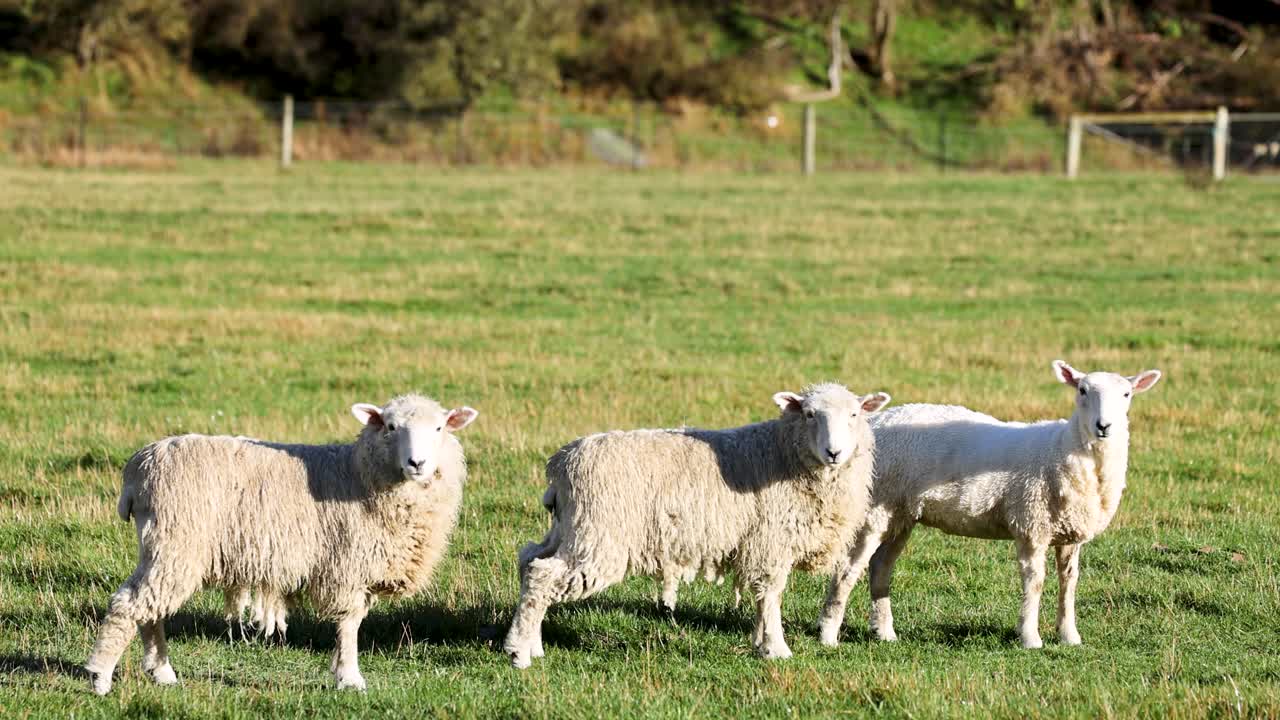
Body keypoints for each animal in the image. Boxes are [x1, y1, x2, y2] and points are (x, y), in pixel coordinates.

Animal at [84, 394, 478, 694]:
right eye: (391, 427)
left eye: (439, 428)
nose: (417, 463)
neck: (359, 473)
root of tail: (139, 466)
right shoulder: (347, 564)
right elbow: (350, 624)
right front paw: (350, 678)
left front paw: (342, 672)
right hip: (176, 543)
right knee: (130, 604)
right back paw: (100, 676)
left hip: (166, 550)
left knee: (150, 611)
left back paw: (161, 672)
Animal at [503, 383, 891, 668]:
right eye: (810, 415)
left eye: (854, 414)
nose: (834, 452)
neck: (785, 454)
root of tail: (561, 462)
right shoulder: (771, 542)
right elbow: (771, 595)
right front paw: (776, 648)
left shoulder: (760, 543)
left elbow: (760, 597)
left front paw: (759, 641)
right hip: (600, 536)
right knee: (542, 575)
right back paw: (519, 653)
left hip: (570, 529)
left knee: (530, 560)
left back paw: (530, 643)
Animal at [815, 360, 1162, 649]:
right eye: (1082, 390)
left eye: (1127, 393)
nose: (1104, 426)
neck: (1062, 449)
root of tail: (875, 419)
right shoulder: (1031, 523)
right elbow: (1035, 583)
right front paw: (1030, 638)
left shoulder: (1070, 532)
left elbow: (1069, 583)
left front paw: (1069, 636)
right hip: (873, 508)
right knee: (847, 570)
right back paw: (828, 635)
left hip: (900, 512)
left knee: (880, 567)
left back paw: (885, 632)